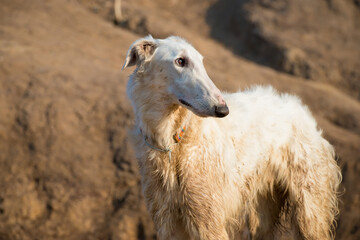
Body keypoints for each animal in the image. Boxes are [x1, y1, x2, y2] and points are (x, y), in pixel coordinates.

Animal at [123, 35, 340, 240]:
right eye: (180, 61)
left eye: (201, 61)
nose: (222, 109)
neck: (174, 141)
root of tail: (300, 108)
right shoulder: (168, 222)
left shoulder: (208, 221)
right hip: (263, 208)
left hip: (310, 209)